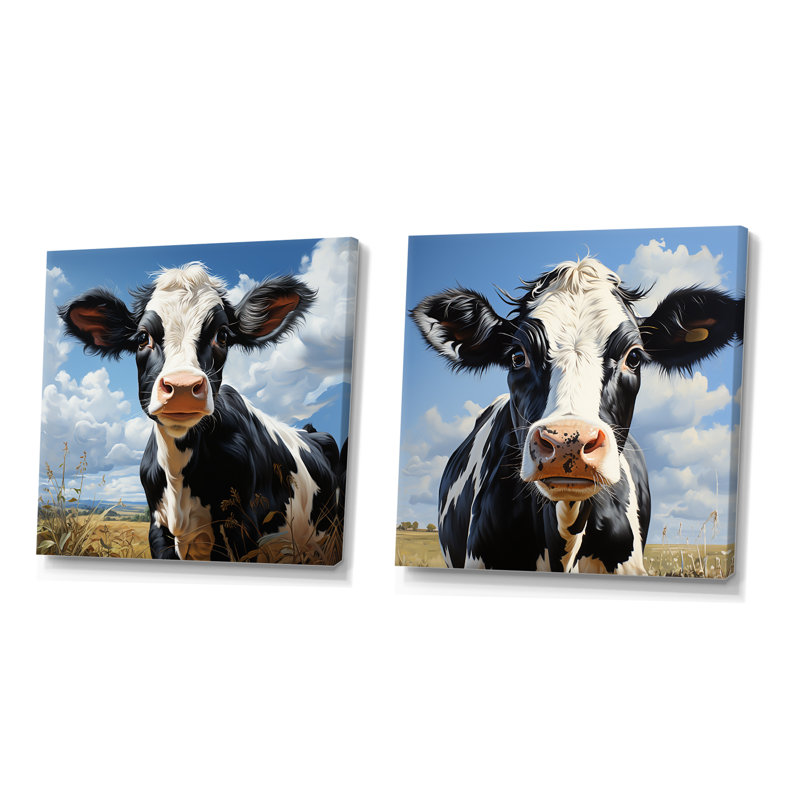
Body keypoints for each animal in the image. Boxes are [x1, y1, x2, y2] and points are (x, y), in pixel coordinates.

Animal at [59, 262, 342, 562]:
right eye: (142, 337)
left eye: (223, 335)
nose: (183, 386)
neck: (178, 472)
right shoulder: (158, 530)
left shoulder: (240, 531)